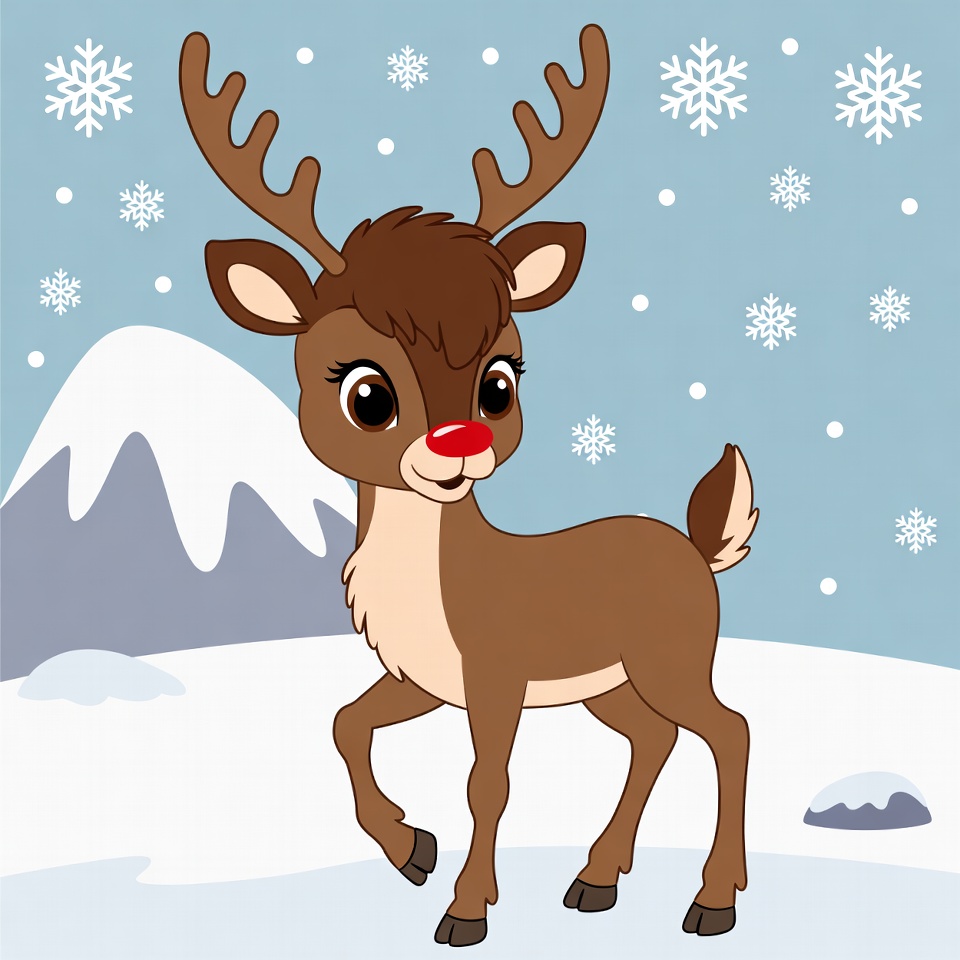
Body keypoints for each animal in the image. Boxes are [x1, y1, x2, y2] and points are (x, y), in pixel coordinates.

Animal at [180, 24, 756, 947]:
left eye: (501, 380)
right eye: (366, 393)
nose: (463, 445)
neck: (438, 586)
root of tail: (700, 551)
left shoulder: (497, 676)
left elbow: (488, 783)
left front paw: (465, 910)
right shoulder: (423, 679)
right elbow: (344, 724)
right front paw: (410, 848)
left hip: (670, 659)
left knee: (727, 731)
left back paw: (713, 902)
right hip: (613, 684)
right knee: (653, 740)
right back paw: (596, 880)